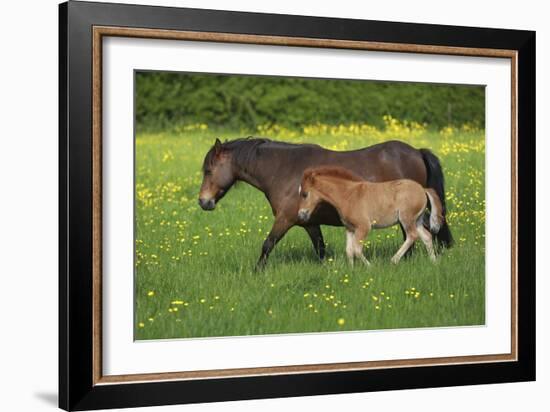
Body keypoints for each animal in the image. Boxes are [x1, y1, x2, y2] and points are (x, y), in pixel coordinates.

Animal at [300, 167, 446, 264]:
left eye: (305, 194)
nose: (301, 214)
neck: (348, 195)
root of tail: (422, 189)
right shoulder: (350, 228)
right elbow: (349, 250)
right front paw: (351, 270)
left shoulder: (363, 227)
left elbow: (357, 249)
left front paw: (369, 267)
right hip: (417, 220)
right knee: (426, 236)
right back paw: (434, 261)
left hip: (407, 218)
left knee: (412, 236)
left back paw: (393, 260)